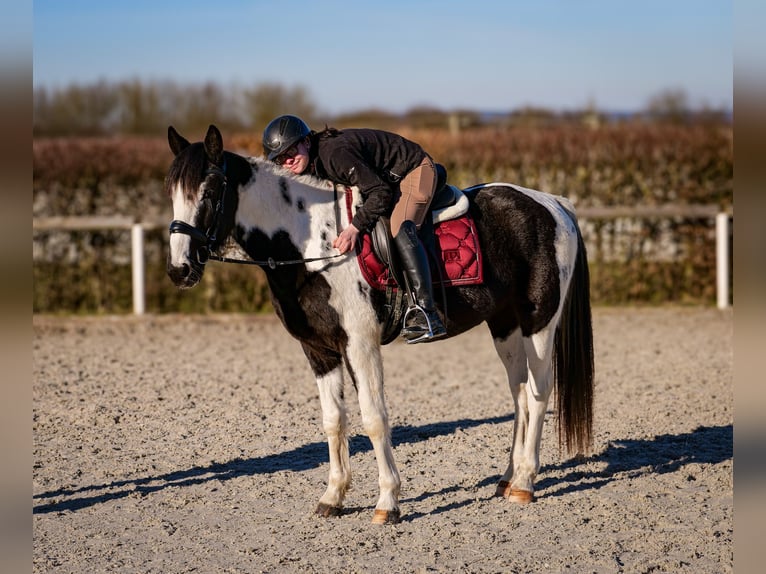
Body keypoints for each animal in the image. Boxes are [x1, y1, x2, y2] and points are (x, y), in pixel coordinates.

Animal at [165, 125, 596, 528]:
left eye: (209, 191)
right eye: (172, 193)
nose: (179, 270)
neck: (309, 243)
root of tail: (554, 204)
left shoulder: (360, 344)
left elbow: (373, 419)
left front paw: (387, 502)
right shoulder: (319, 350)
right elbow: (334, 421)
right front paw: (333, 497)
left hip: (539, 322)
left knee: (539, 393)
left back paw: (524, 483)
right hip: (504, 323)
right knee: (519, 394)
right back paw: (507, 478)